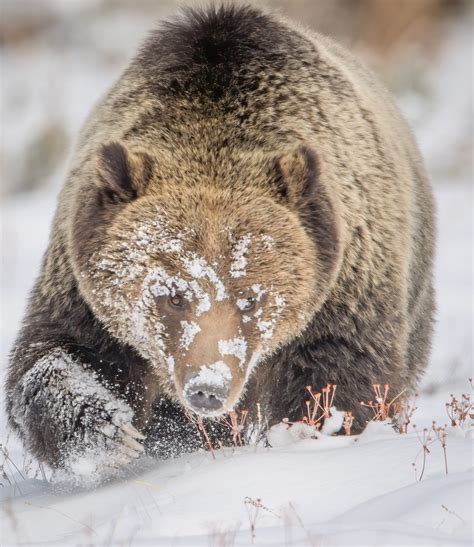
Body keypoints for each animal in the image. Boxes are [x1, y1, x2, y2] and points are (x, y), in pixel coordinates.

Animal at [5, 3, 434, 476]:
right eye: (173, 295)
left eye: (251, 297)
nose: (207, 388)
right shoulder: (85, 285)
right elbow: (57, 356)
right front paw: (107, 430)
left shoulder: (344, 288)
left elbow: (338, 378)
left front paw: (318, 431)